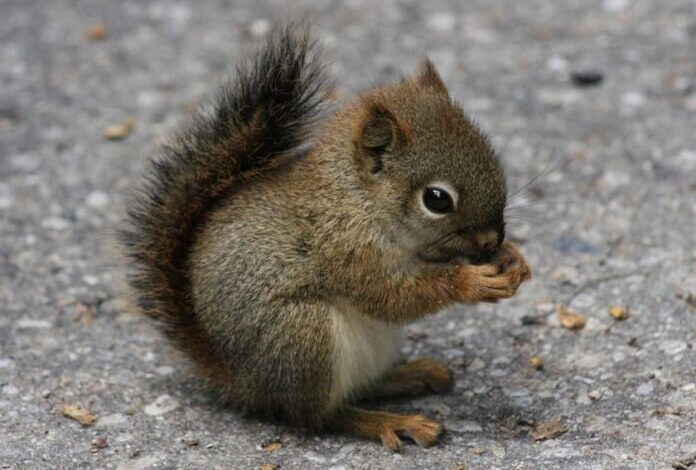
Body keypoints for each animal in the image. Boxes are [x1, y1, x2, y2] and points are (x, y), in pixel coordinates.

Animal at [121, 23, 532, 450]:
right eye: (436, 199)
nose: (491, 240)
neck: (358, 198)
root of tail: (239, 380)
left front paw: (514, 260)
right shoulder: (345, 248)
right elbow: (390, 296)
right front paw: (472, 282)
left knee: (359, 388)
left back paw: (409, 375)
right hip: (304, 336)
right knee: (319, 416)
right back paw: (390, 421)